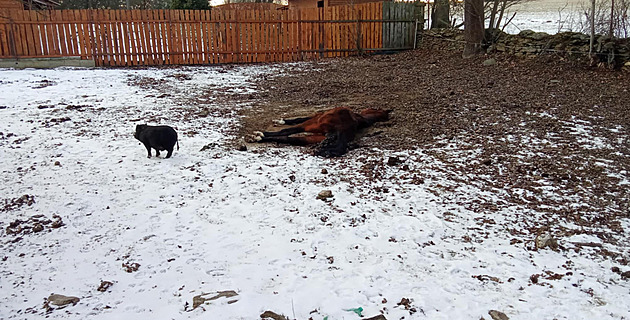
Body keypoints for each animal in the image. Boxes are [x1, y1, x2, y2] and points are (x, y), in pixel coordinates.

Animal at [251, 107, 390, 158]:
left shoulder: (313, 120)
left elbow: (296, 121)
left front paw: (282, 121)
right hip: (315, 137)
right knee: (290, 138)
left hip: (312, 125)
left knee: (288, 132)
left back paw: (259, 135)